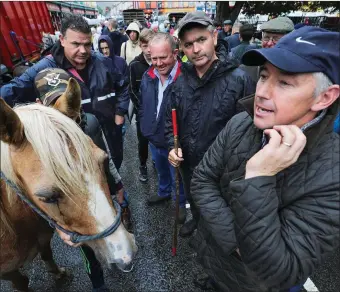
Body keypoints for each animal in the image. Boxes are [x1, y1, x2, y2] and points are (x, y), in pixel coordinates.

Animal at [0, 90, 138, 290]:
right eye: (47, 197)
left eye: (104, 161)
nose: (124, 255)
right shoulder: (8, 272)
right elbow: (22, 283)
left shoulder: (44, 239)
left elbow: (47, 253)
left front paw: (58, 273)